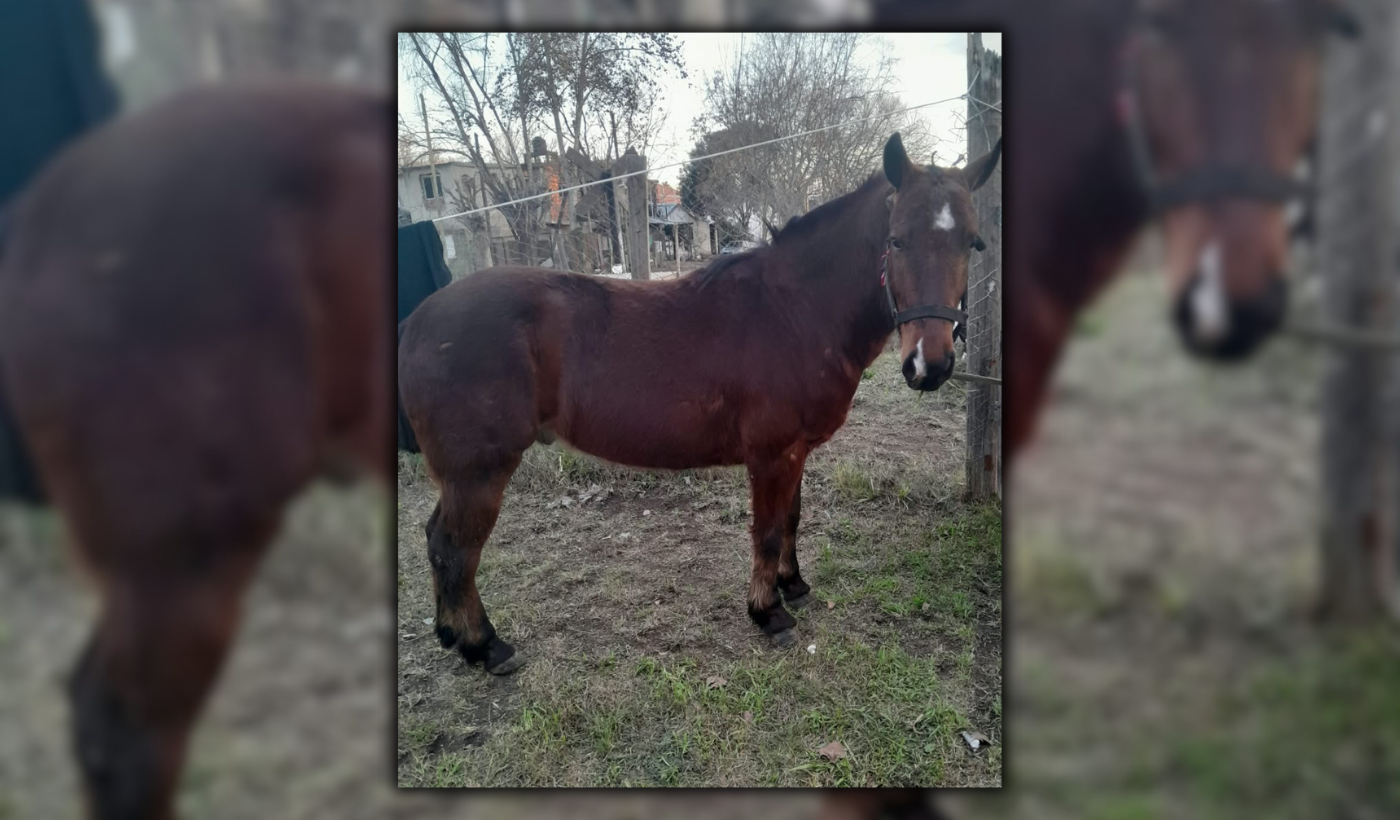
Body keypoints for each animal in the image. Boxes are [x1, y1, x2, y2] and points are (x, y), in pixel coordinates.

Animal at [398, 132, 1001, 673]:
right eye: (896, 240)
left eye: (973, 242)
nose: (931, 364)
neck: (794, 311)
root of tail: (420, 320)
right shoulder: (771, 455)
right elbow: (768, 530)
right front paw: (768, 612)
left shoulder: (796, 453)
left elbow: (793, 518)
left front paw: (794, 585)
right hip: (478, 472)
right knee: (456, 549)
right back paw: (485, 647)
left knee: (437, 541)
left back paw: (453, 634)